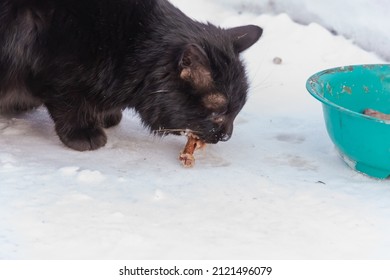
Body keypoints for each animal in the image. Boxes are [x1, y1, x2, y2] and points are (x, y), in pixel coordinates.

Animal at [0, 0, 262, 151]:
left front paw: (106, 114)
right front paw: (84, 132)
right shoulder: (58, 71)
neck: (132, 43)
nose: (226, 136)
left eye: (236, 111)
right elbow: (69, 104)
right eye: (218, 112)